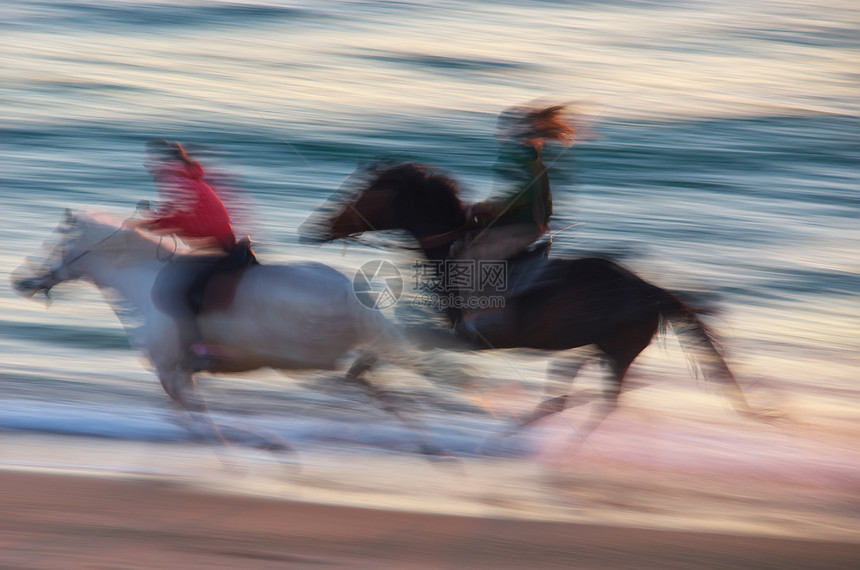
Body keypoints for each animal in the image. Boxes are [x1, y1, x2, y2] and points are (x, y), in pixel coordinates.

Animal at [13, 209, 454, 452]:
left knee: (359, 379)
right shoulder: (178, 373)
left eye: (53, 243)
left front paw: (262, 446)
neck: (143, 279)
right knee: (370, 380)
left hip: (305, 360)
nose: (21, 281)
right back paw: (431, 446)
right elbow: (189, 417)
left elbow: (199, 418)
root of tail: (350, 291)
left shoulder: (171, 371)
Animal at [302, 162, 764, 432]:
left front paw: (354, 373)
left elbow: (399, 340)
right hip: (596, 345)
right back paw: (529, 421)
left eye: (366, 194)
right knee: (571, 388)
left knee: (604, 400)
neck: (454, 255)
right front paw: (354, 374)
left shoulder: (469, 337)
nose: (317, 228)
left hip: (617, 349)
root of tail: (654, 293)